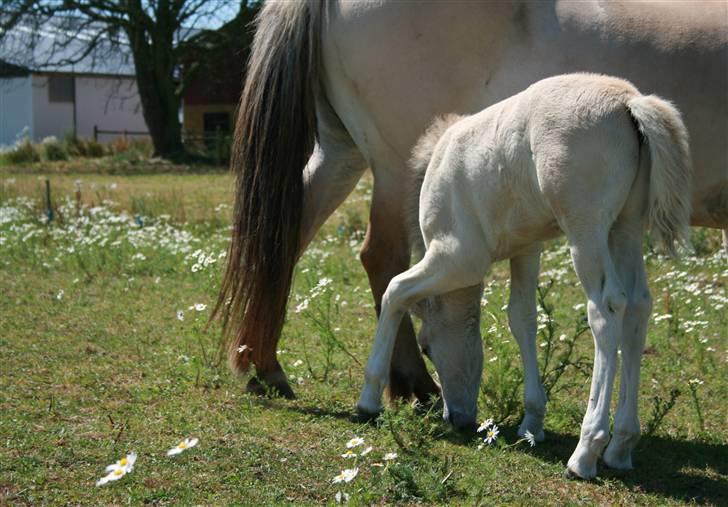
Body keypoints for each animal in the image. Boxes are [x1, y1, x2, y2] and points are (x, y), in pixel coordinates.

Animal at [218, 0, 728, 430]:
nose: (460, 418)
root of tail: (630, 103)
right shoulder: (475, 249)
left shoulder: (514, 248)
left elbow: (517, 315)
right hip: (393, 163)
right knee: (381, 258)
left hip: (343, 151)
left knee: (287, 235)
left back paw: (266, 367)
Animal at [358, 74, 692, 480]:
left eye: (427, 347)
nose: (458, 418)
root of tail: (629, 102)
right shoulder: (527, 248)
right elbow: (523, 318)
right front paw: (532, 422)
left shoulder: (459, 259)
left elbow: (395, 291)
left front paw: (368, 400)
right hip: (625, 227)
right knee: (638, 307)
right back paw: (621, 446)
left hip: (586, 231)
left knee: (607, 308)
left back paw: (586, 451)